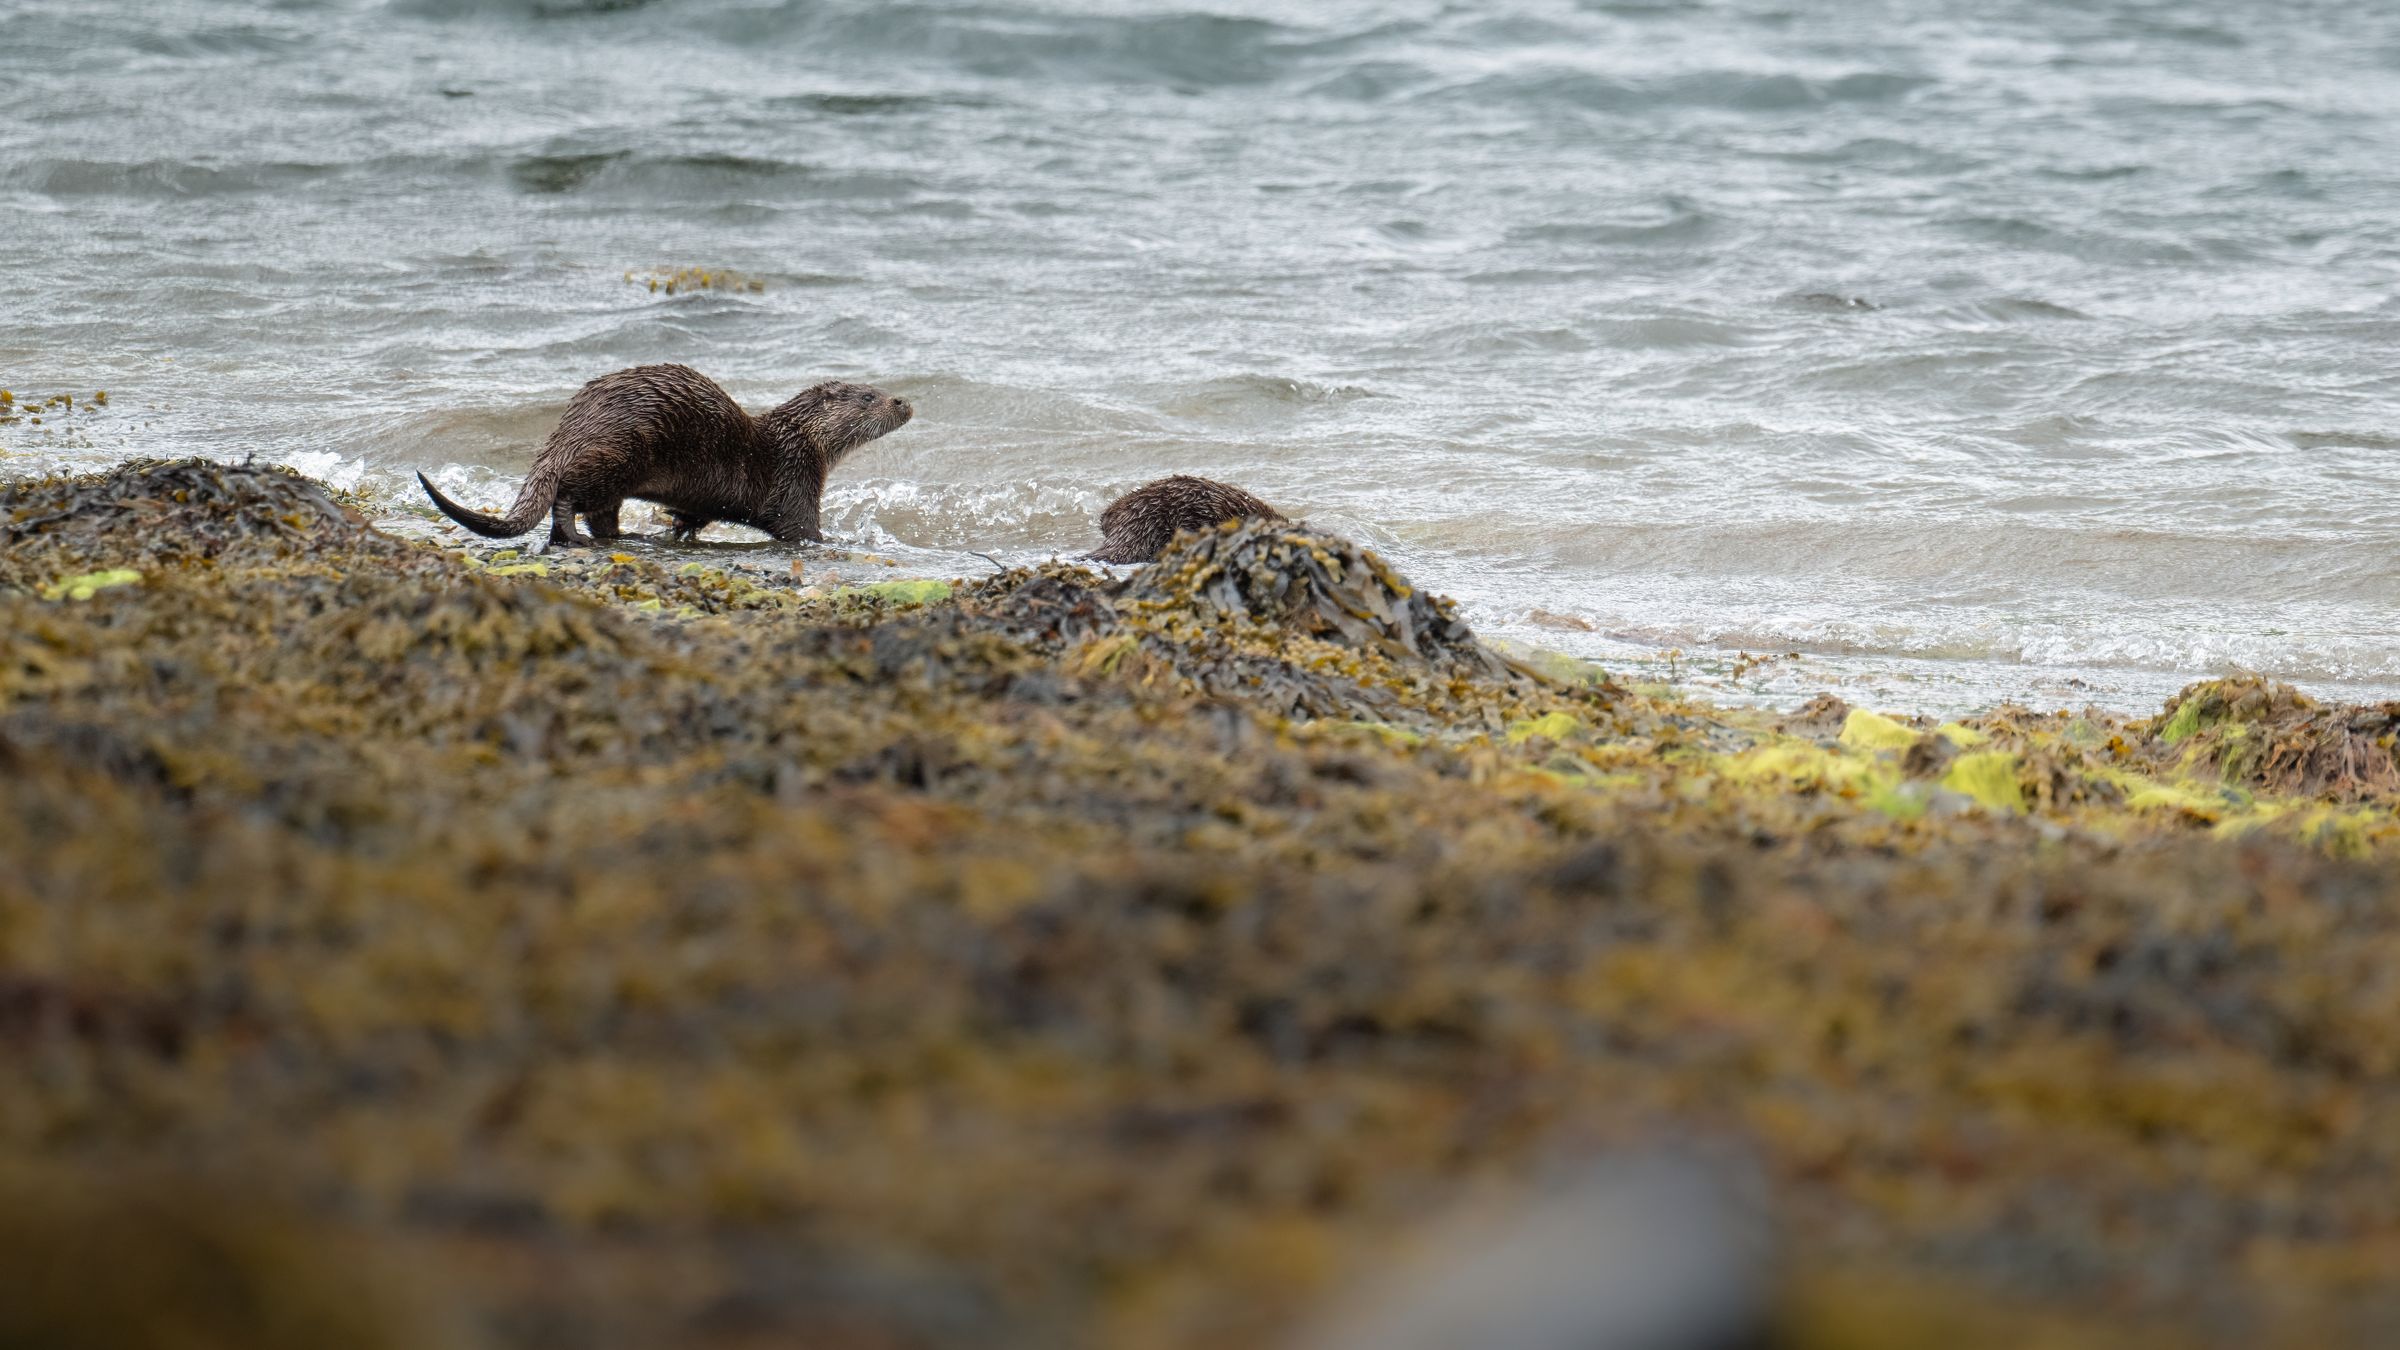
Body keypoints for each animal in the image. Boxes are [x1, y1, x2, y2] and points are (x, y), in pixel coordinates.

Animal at [416, 364, 911, 547]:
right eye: (869, 396)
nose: (903, 401)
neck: (798, 443)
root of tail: (572, 426)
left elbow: (695, 514)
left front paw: (677, 526)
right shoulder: (795, 484)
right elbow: (802, 529)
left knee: (600, 512)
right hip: (619, 452)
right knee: (569, 495)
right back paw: (572, 536)